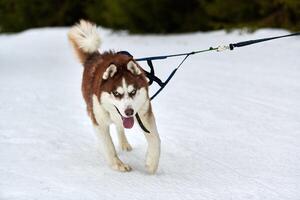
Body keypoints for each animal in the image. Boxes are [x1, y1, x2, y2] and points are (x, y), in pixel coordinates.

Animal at [68, 20, 161, 173]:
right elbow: (109, 147)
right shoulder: (99, 121)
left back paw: (124, 143)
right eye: (116, 93)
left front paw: (152, 163)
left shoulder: (144, 113)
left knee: (120, 126)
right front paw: (118, 164)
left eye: (133, 92)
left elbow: (156, 140)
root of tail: (95, 56)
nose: (129, 111)